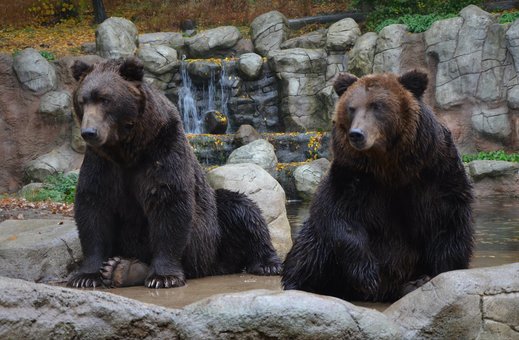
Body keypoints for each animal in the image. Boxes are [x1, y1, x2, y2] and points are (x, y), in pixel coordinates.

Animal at [68, 57, 282, 288]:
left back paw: (268, 264)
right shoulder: (102, 163)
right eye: (82, 101)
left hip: (215, 232)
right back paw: (121, 269)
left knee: (241, 209)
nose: (89, 132)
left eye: (105, 99)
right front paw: (85, 276)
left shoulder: (163, 147)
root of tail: (215, 266)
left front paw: (163, 277)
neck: (128, 149)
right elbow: (93, 207)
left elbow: (169, 202)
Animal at [282, 70, 474, 302]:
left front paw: (440, 273)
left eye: (377, 106)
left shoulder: (435, 170)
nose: (356, 134)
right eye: (351, 108)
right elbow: (340, 218)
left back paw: (413, 283)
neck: (390, 166)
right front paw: (368, 276)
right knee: (309, 252)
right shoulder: (353, 176)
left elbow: (448, 219)